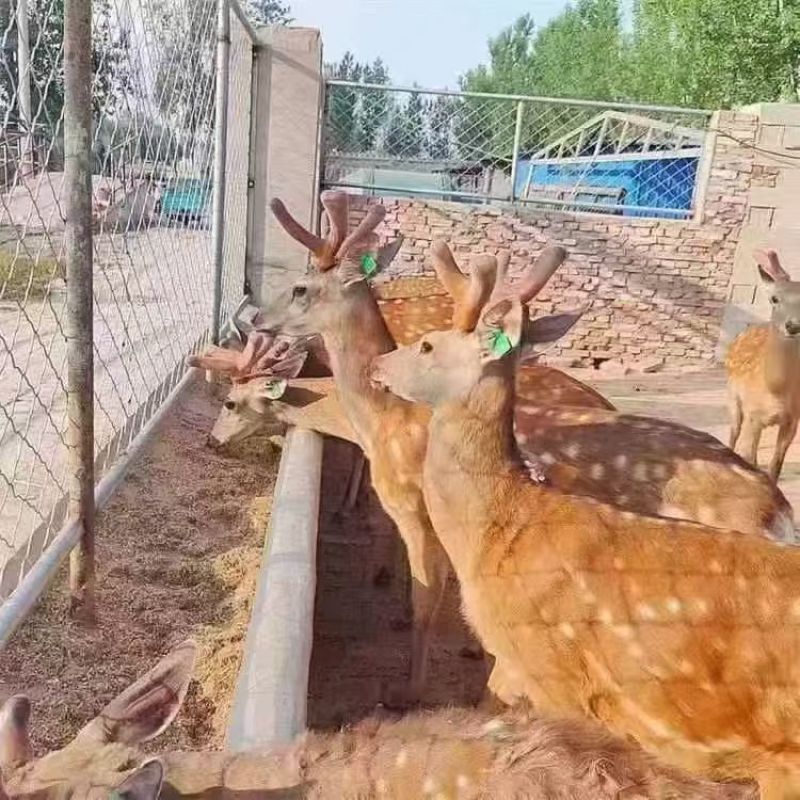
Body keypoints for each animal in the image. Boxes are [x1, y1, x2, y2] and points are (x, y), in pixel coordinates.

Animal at [727, 248, 800, 483]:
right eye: (774, 298)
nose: (793, 326)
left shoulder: (792, 419)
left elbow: (775, 465)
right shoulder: (753, 414)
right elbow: (748, 457)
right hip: (732, 396)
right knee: (733, 433)